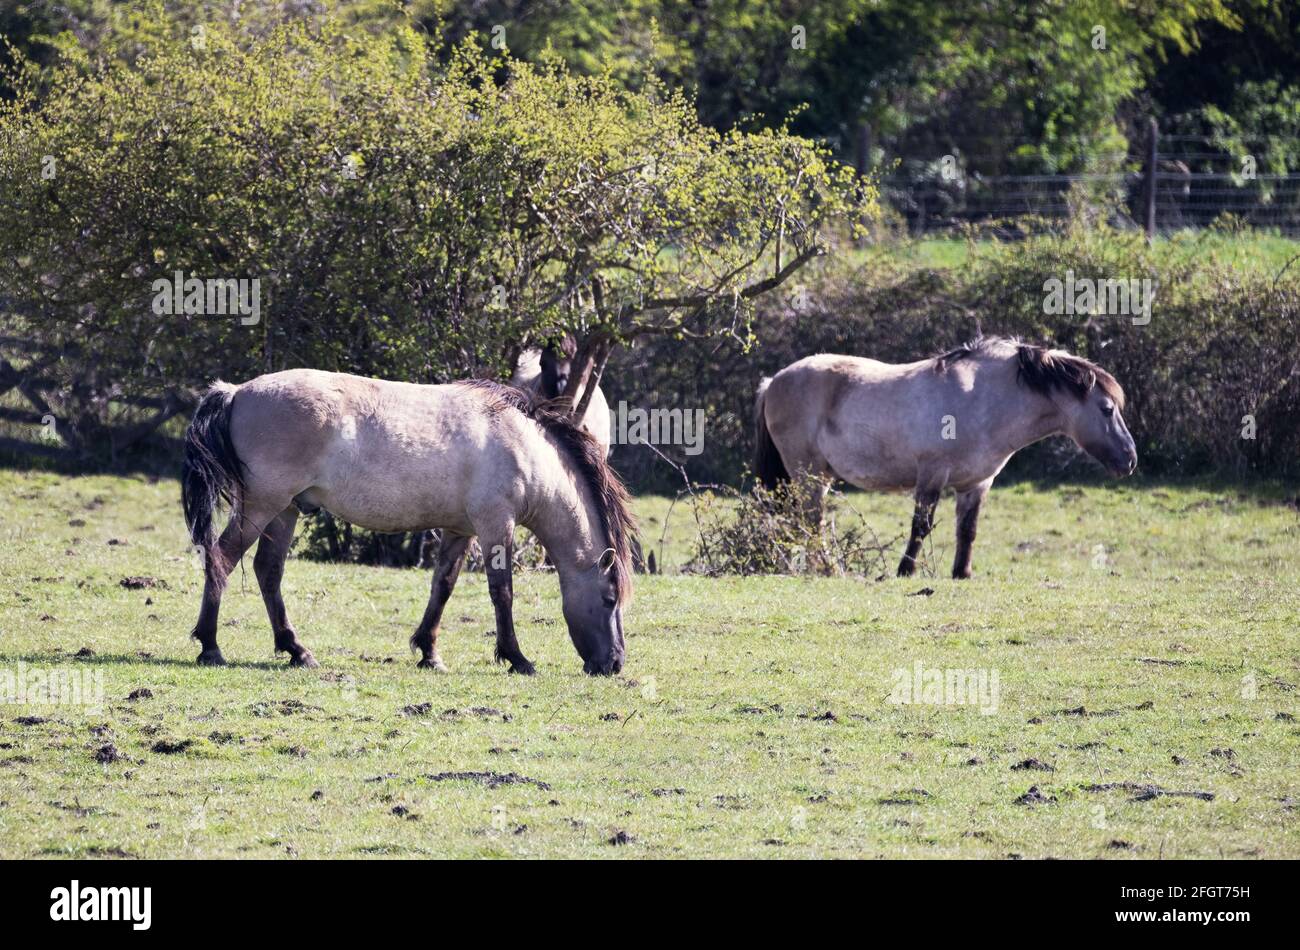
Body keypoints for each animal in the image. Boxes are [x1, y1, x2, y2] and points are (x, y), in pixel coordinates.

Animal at [180, 370, 634, 675]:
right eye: (609, 599)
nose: (614, 664)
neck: (523, 446)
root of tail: (236, 392)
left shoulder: (460, 530)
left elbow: (443, 587)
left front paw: (429, 653)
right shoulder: (495, 525)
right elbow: (502, 592)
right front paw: (517, 658)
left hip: (285, 510)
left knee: (267, 571)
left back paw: (296, 650)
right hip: (262, 507)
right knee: (221, 559)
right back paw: (211, 647)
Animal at [754, 336, 1136, 579]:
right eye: (1106, 409)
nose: (1130, 459)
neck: (983, 399)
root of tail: (773, 381)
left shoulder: (977, 484)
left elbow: (967, 529)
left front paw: (962, 573)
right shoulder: (932, 474)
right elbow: (920, 526)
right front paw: (905, 570)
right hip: (808, 475)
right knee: (810, 521)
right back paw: (827, 568)